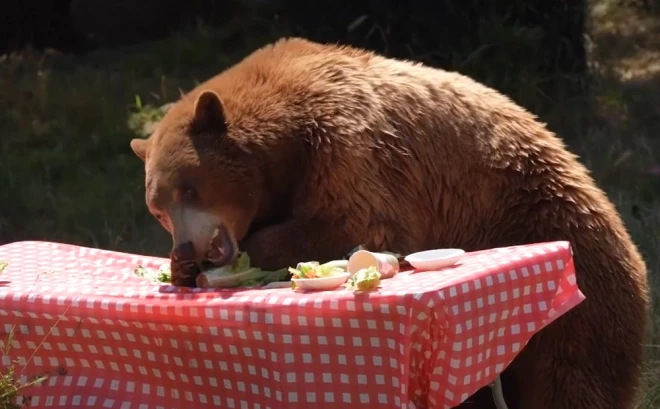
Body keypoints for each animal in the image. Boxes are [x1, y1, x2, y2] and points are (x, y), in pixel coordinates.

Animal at [130, 38, 648, 408]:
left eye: (189, 188)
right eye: (156, 207)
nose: (188, 249)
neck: (285, 139)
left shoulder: (350, 144)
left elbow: (353, 221)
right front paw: (179, 268)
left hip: (562, 247)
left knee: (572, 373)